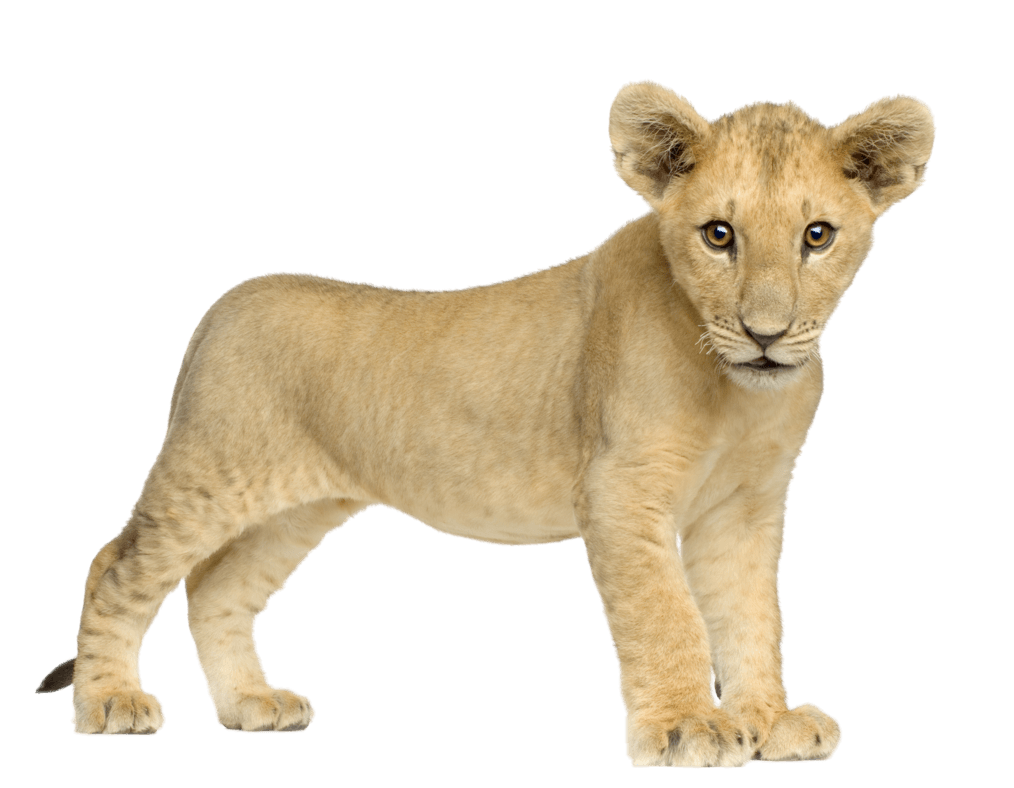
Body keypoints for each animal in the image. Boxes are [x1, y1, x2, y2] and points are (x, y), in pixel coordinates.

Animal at [36, 80, 933, 767]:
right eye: (719, 235)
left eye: (817, 236)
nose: (766, 333)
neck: (736, 392)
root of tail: (224, 302)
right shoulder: (621, 493)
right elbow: (666, 614)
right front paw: (688, 726)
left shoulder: (744, 509)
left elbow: (753, 615)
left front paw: (769, 720)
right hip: (211, 471)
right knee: (116, 565)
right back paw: (110, 703)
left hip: (298, 509)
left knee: (216, 587)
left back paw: (251, 703)